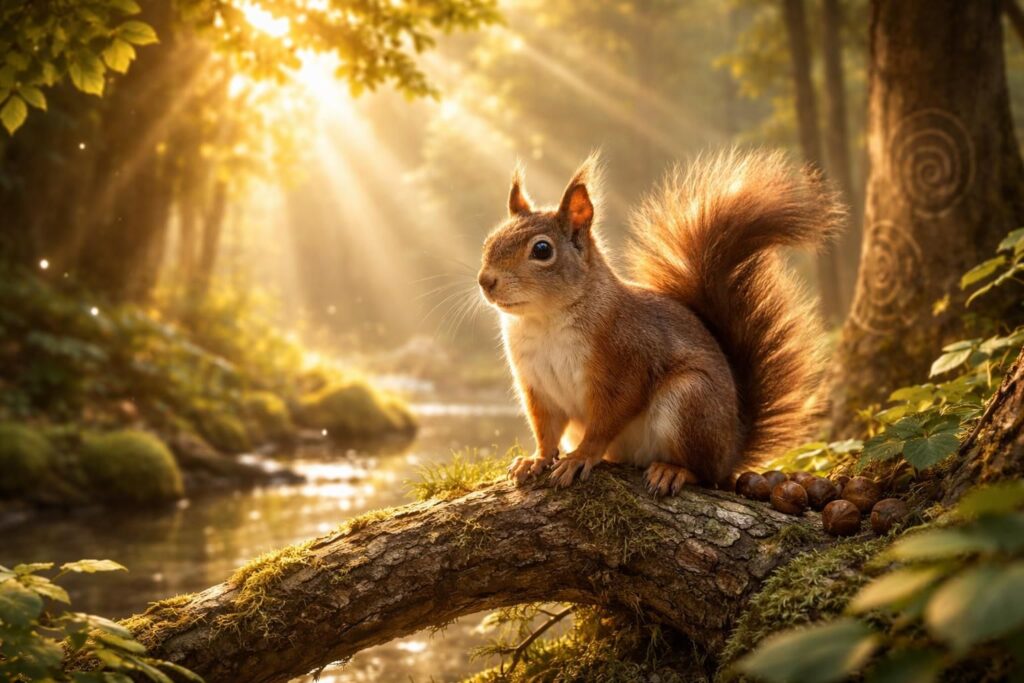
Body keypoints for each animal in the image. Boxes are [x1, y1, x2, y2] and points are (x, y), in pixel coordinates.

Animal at [477, 149, 844, 495]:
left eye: (542, 250)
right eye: (488, 241)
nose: (485, 281)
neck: (544, 321)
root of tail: (731, 450)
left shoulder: (626, 362)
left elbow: (605, 420)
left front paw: (580, 457)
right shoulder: (536, 385)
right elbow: (546, 428)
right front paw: (535, 460)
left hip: (690, 401)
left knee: (703, 473)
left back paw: (673, 471)